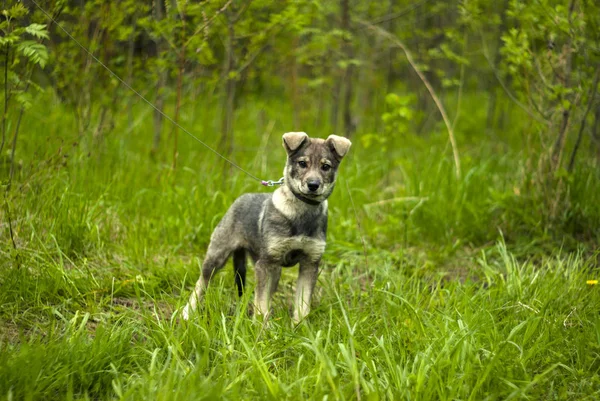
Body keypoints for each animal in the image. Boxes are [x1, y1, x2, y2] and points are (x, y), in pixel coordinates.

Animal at [183, 131, 352, 322]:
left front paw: (299, 326)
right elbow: (261, 302)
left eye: (325, 166)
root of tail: (239, 199)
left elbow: (302, 304)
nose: (313, 185)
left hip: (274, 269)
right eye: (302, 163)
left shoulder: (309, 263)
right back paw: (187, 312)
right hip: (217, 256)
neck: (302, 212)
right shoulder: (265, 264)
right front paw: (261, 326)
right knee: (201, 283)